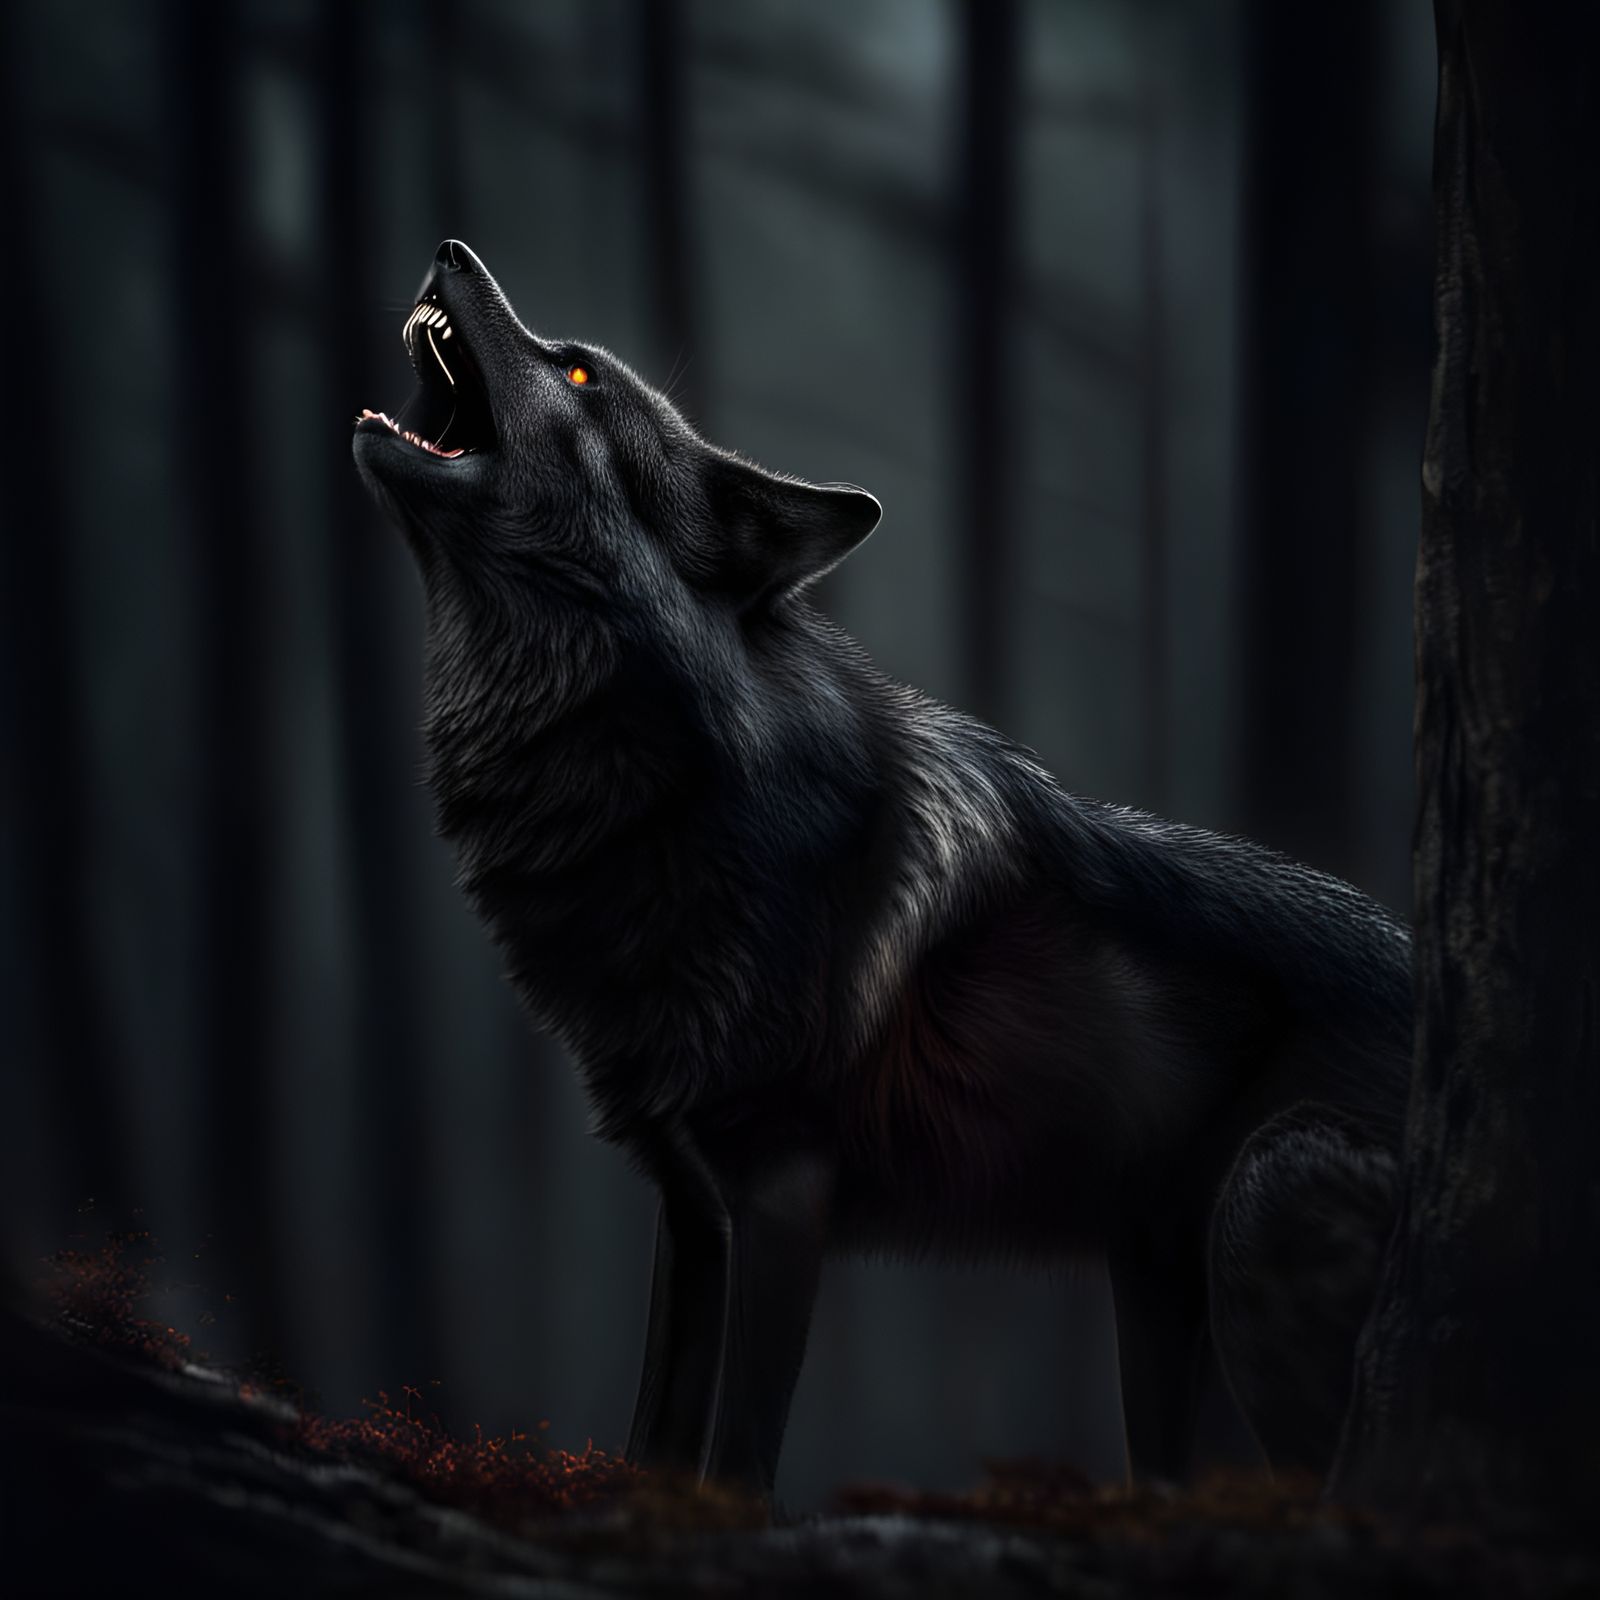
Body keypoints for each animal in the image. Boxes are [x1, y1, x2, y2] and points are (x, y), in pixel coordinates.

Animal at [353, 240, 1410, 1497]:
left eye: (576, 374)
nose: (450, 251)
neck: (658, 776)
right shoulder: (688, 1204)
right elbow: (655, 1435)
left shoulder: (781, 1192)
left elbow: (736, 1458)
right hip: (1157, 1298)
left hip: (1258, 1207)